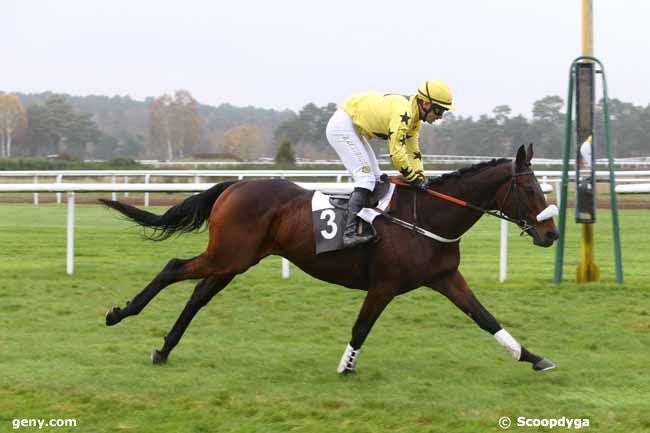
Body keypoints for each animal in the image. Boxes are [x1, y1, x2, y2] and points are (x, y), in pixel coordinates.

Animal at [100, 143, 556, 372]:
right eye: (531, 189)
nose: (551, 233)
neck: (425, 216)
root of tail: (235, 184)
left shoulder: (445, 278)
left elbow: (486, 318)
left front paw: (532, 358)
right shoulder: (385, 284)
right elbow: (361, 327)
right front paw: (345, 366)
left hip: (236, 260)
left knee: (197, 295)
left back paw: (164, 349)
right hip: (227, 255)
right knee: (173, 268)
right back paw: (119, 314)